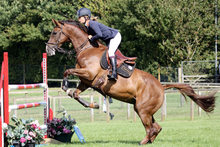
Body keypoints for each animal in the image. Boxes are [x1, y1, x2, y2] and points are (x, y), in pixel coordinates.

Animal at [45, 19, 216, 145]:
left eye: (54, 32)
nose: (48, 50)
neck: (86, 48)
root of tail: (161, 86)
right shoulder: (86, 81)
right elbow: (75, 94)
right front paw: (94, 105)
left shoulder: (89, 74)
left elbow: (67, 72)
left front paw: (65, 86)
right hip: (142, 109)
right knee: (156, 127)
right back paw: (148, 141)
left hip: (142, 109)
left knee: (151, 128)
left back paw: (143, 141)